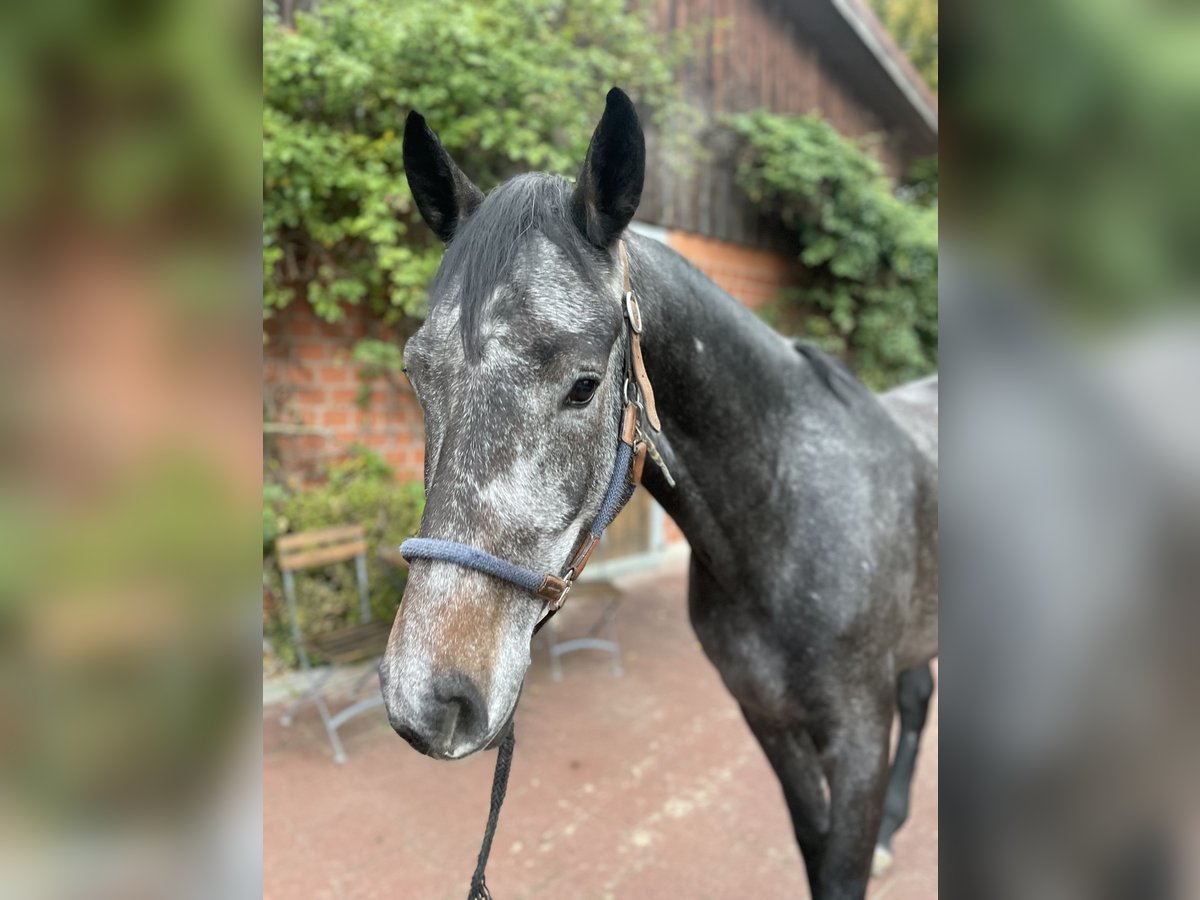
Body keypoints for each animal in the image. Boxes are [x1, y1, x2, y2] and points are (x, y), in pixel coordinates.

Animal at [381, 86, 936, 900]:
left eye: (584, 385)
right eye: (417, 373)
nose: (426, 699)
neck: (785, 513)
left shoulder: (859, 736)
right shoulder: (768, 719)